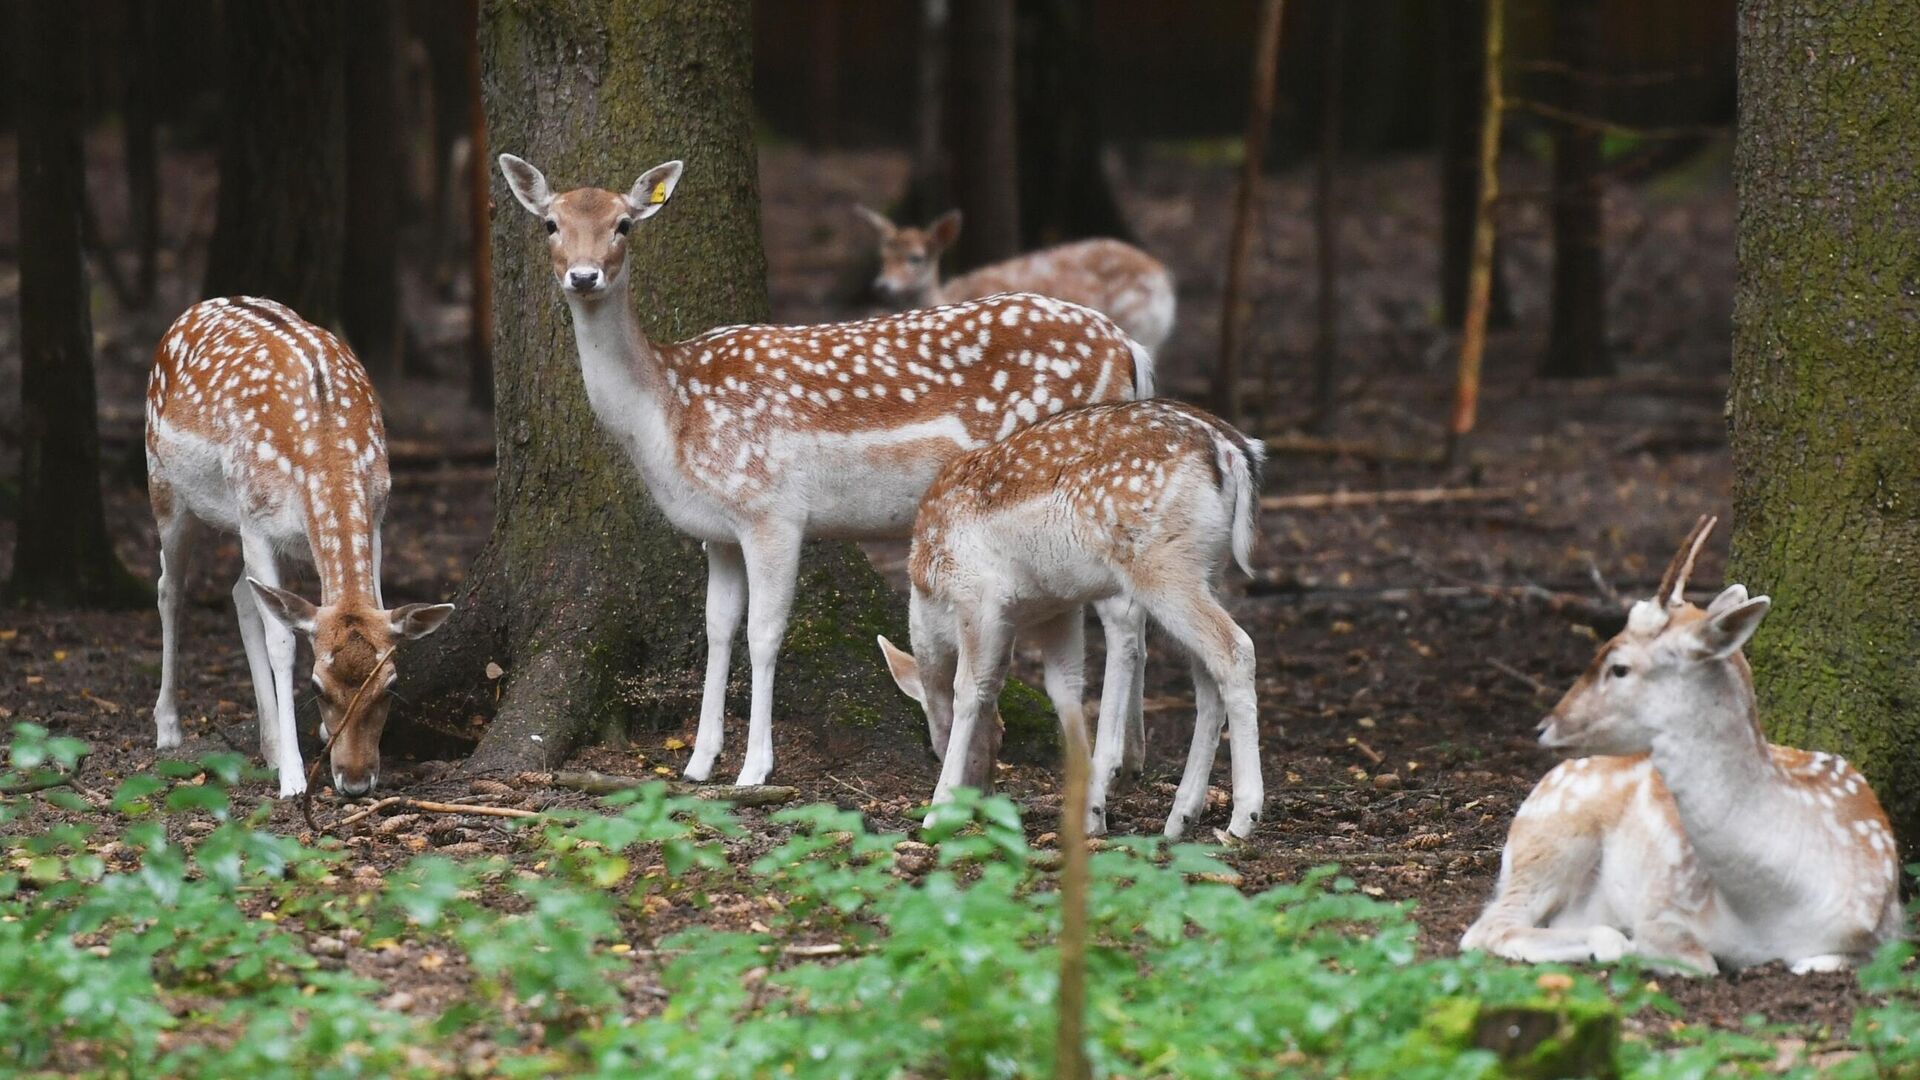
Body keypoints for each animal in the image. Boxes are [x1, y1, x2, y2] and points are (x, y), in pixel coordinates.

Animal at [145, 297, 456, 795]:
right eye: (316, 687)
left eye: (389, 685)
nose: (355, 781)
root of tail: (195, 308)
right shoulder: (254, 519)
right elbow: (282, 642)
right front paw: (293, 777)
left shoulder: (376, 517)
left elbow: (369, 601)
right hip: (165, 485)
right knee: (169, 589)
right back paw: (170, 728)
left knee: (241, 594)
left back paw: (269, 745)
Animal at [879, 395, 1267, 834]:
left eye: (936, 743)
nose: (981, 801)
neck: (929, 593)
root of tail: (1233, 450)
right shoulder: (1057, 607)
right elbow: (1065, 690)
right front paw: (1091, 813)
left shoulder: (978, 594)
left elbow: (969, 690)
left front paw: (937, 810)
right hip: (1209, 568)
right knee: (1206, 676)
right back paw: (1180, 817)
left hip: (1161, 564)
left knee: (1235, 648)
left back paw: (1243, 818)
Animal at [1459, 518, 1896, 972]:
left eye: (1619, 667)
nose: (1545, 726)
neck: (1774, 910)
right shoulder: (1664, 902)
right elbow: (1698, 961)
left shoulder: (1887, 933)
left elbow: (1820, 962)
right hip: (1552, 834)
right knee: (1488, 927)